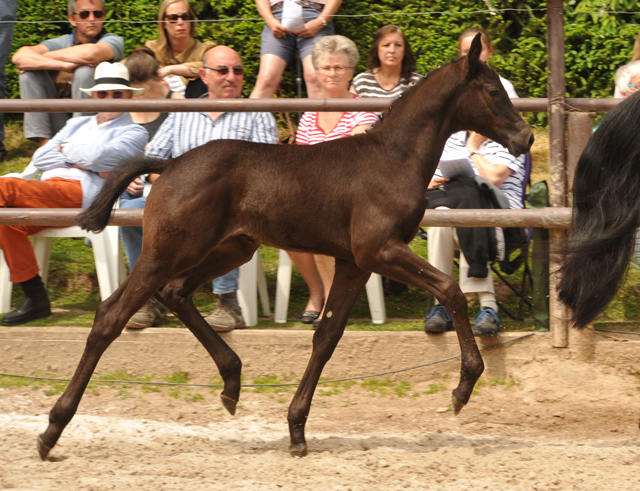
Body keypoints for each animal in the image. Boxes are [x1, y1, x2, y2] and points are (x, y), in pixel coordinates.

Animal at [37, 34, 532, 462]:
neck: (393, 158)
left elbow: (327, 337)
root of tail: (169, 162)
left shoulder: (354, 262)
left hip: (231, 249)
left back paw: (232, 381)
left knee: (176, 293)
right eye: (493, 90)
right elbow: (450, 289)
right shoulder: (379, 251)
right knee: (111, 315)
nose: (525, 138)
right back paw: (52, 430)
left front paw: (296, 429)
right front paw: (464, 387)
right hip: (169, 251)